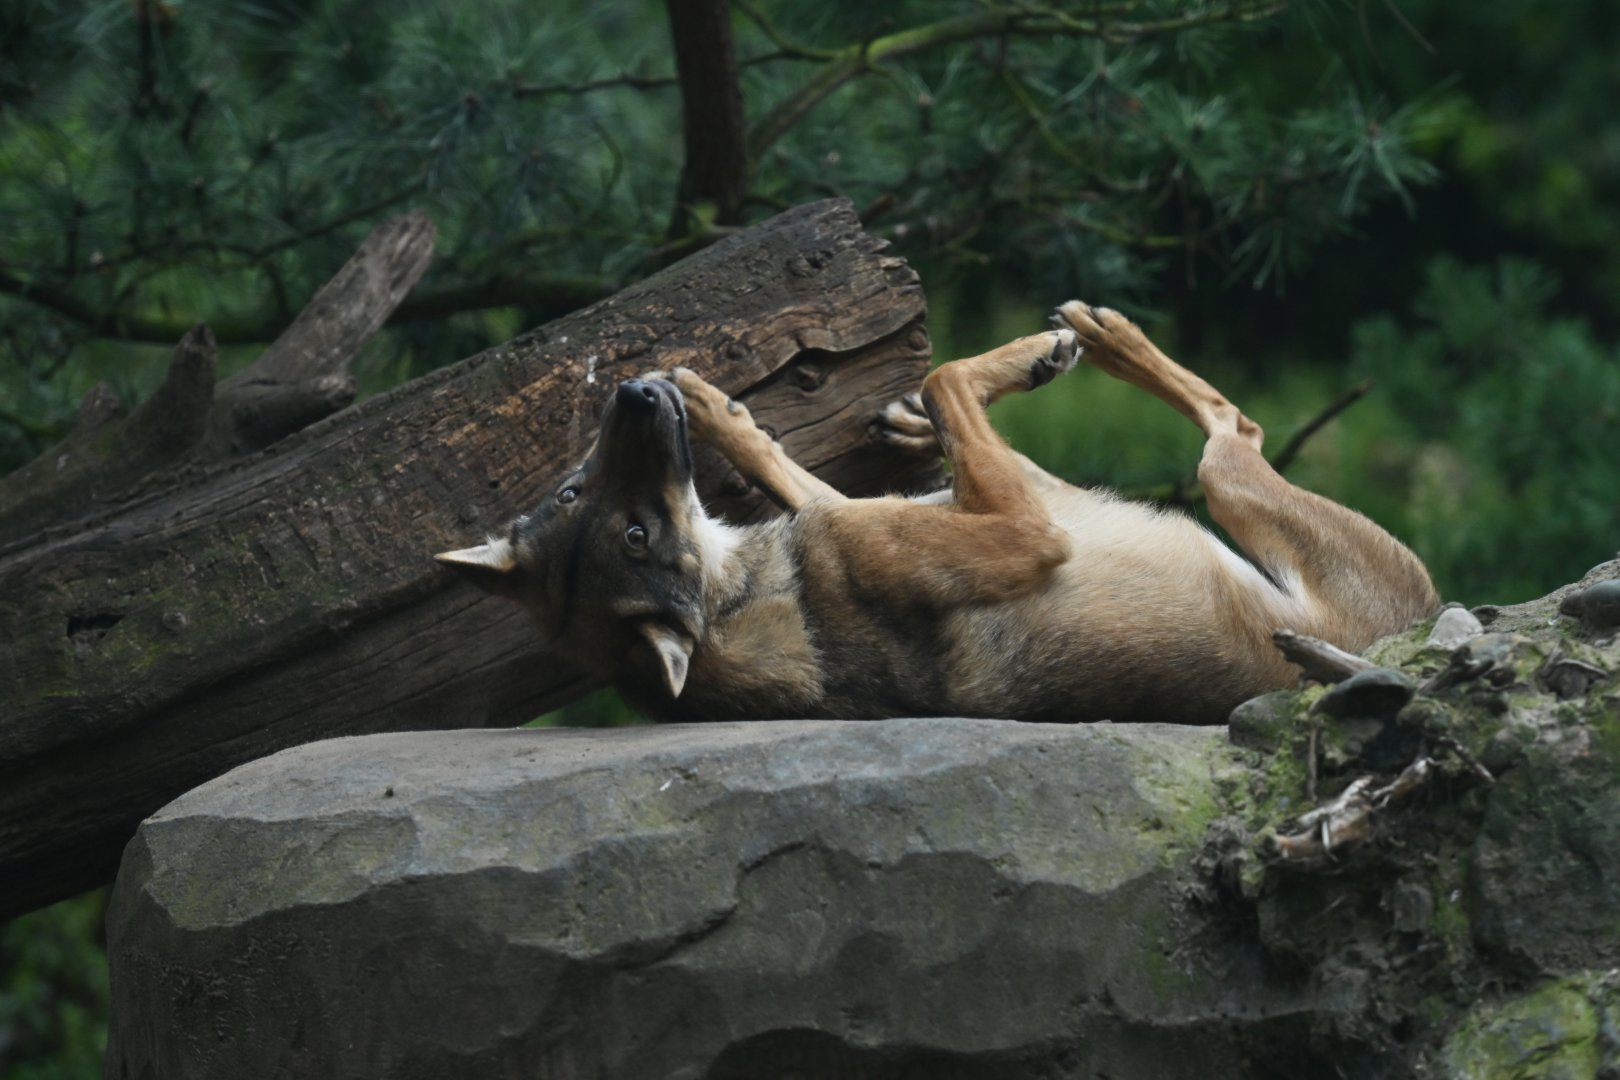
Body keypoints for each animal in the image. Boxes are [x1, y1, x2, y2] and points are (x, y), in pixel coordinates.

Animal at [437, 302, 1439, 724]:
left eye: (575, 494)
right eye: (633, 536)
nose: (635, 394)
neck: (752, 591)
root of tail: (1417, 628)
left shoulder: (860, 516)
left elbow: (798, 464)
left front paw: (721, 411)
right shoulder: (1025, 530)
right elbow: (948, 371)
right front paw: (1033, 353)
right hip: (1227, 484)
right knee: (1232, 424)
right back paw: (1094, 338)